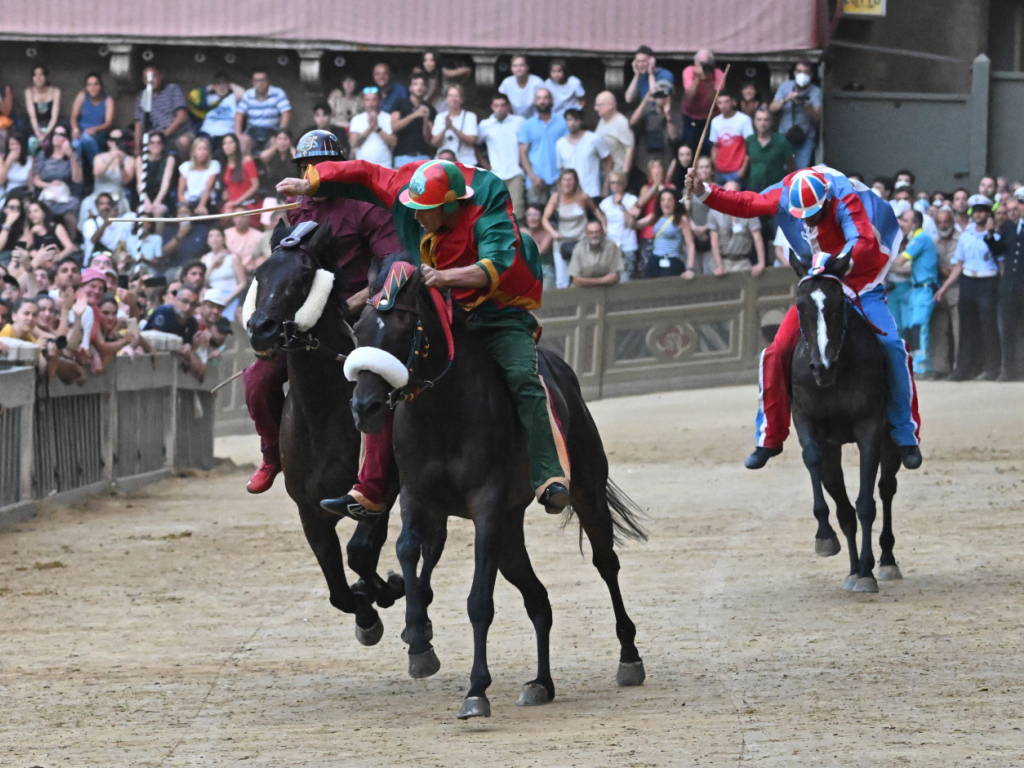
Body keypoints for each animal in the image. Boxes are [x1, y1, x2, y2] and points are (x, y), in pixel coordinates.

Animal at [245, 221, 405, 643]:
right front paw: (365, 612)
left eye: (303, 275)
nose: (261, 328)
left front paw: (388, 588)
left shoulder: (378, 491)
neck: (324, 414)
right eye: (260, 273)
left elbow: (361, 551)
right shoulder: (309, 510)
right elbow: (337, 588)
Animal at [346, 264, 647, 720]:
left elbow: (478, 602)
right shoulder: (419, 496)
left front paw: (476, 690)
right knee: (538, 598)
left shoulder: (487, 505)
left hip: (586, 491)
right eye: (359, 327)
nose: (365, 406)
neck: (444, 412)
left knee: (605, 563)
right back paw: (541, 683)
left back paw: (629, 656)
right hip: (510, 530)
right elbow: (407, 549)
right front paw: (419, 642)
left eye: (402, 325)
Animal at [786, 256, 901, 593]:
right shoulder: (806, 421)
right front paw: (825, 538)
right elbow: (814, 461)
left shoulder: (870, 427)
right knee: (844, 507)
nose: (821, 366)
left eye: (839, 305)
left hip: (892, 441)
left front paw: (868, 572)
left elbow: (866, 503)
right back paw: (854, 568)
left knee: (886, 489)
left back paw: (884, 561)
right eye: (800, 306)